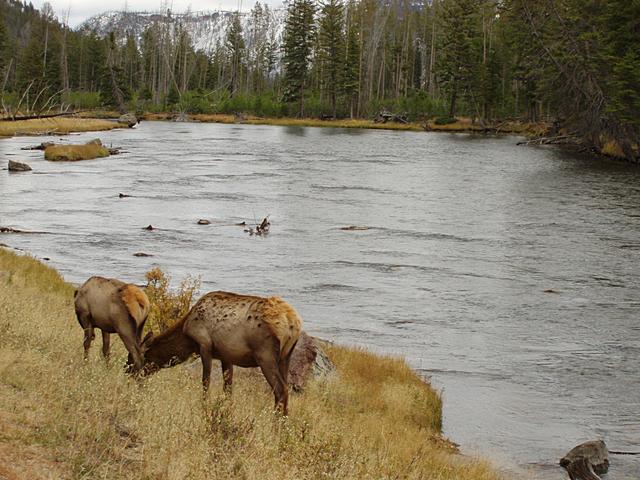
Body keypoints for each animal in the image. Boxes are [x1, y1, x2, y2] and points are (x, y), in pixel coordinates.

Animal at [140, 290, 302, 414]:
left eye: (143, 357)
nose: (134, 374)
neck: (186, 336)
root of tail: (293, 323)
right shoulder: (226, 355)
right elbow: (228, 388)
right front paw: (226, 410)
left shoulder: (204, 345)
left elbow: (205, 381)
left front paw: (204, 406)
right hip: (285, 356)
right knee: (285, 389)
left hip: (265, 355)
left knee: (281, 390)